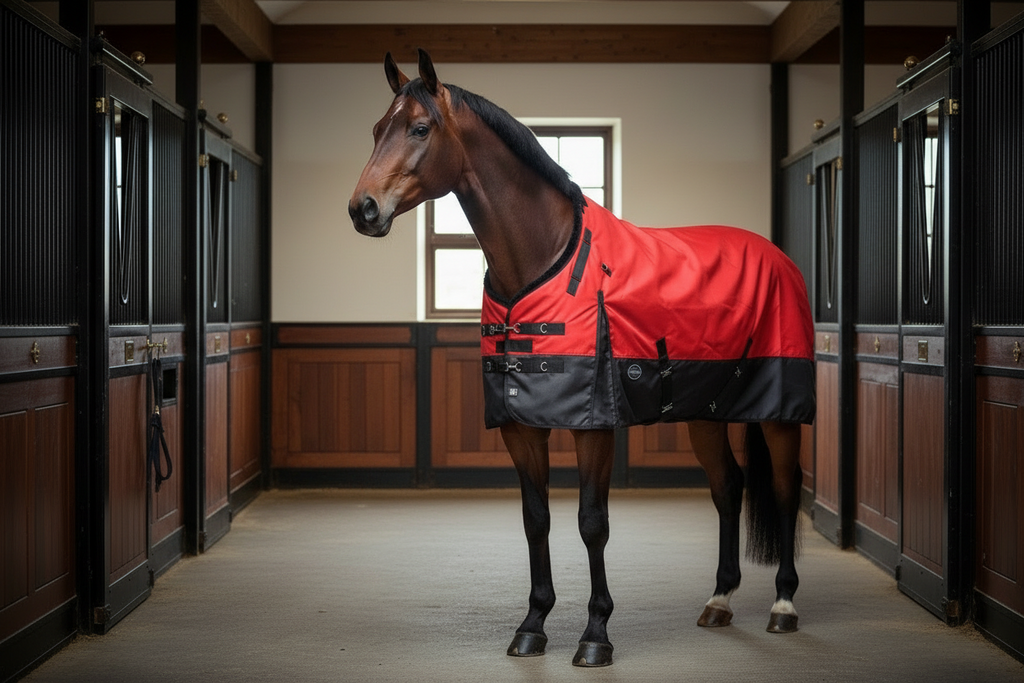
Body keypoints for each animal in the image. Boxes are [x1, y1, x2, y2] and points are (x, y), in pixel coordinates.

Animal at [349, 49, 815, 668]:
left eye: (420, 128)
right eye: (379, 129)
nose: (363, 209)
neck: (542, 258)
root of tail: (777, 256)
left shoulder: (594, 428)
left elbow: (592, 523)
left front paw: (596, 634)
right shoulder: (520, 427)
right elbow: (536, 520)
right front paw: (533, 625)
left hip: (781, 414)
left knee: (785, 490)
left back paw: (784, 605)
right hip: (705, 413)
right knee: (728, 488)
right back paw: (718, 600)